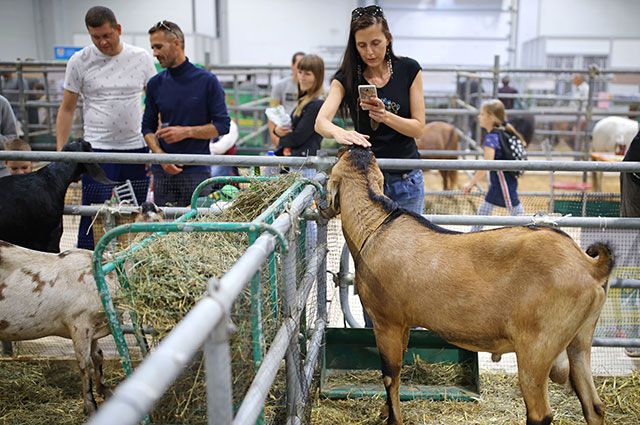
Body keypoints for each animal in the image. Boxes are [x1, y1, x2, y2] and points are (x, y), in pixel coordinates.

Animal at [0, 240, 117, 412]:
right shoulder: (79, 324)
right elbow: (85, 364)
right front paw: (90, 406)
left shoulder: (93, 326)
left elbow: (98, 356)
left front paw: (104, 390)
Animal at [320, 146, 616, 424]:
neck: (376, 227)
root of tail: (589, 267)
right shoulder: (403, 323)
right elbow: (400, 367)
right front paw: (384, 411)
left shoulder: (386, 321)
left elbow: (390, 374)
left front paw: (392, 418)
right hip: (580, 340)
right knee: (594, 405)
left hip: (538, 347)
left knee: (540, 412)